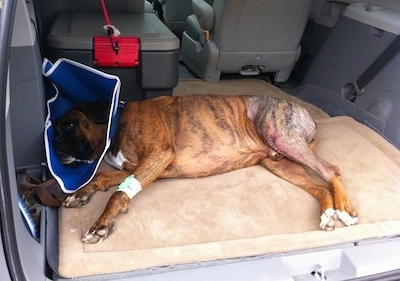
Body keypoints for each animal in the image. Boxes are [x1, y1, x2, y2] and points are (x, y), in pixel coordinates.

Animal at [54, 94, 360, 243]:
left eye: (69, 124)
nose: (55, 148)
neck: (116, 123)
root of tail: (306, 114)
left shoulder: (158, 156)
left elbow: (118, 194)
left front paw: (100, 224)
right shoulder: (141, 167)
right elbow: (105, 177)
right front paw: (80, 193)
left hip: (283, 136)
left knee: (331, 170)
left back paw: (345, 210)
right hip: (278, 161)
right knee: (320, 186)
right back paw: (328, 213)